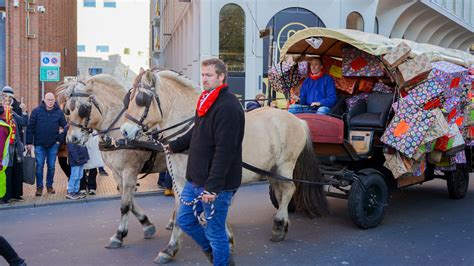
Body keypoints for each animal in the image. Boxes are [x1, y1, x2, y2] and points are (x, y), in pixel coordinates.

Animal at [119, 69, 330, 264]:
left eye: (141, 99)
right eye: (128, 98)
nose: (124, 131)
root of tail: (298, 120)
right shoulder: (181, 182)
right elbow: (182, 213)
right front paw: (171, 249)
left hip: (285, 165)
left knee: (289, 189)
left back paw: (279, 224)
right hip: (272, 170)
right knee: (280, 192)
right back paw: (282, 224)